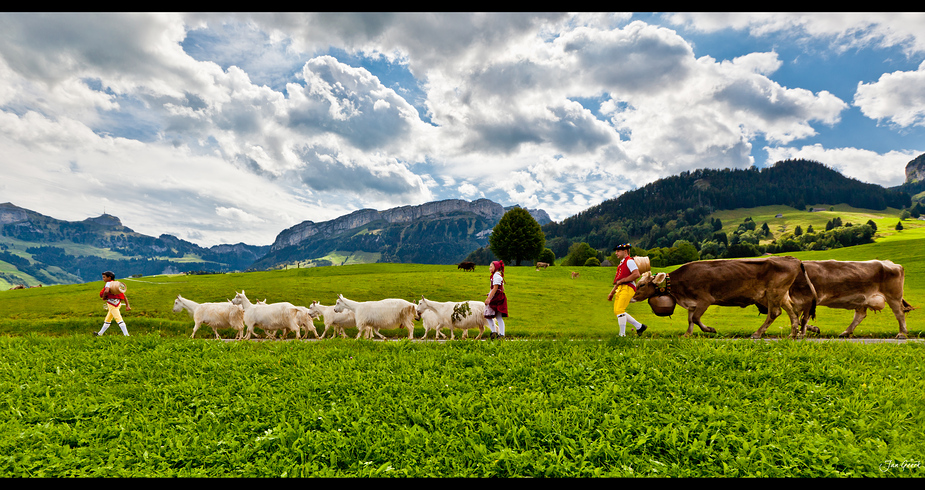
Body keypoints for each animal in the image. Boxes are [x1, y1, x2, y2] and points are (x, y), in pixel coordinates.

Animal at [628, 255, 816, 338]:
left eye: (642, 285)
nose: (632, 298)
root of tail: (791, 258)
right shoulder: (692, 303)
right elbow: (690, 320)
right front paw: (687, 334)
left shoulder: (704, 300)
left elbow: (695, 318)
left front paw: (710, 329)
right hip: (780, 294)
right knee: (793, 312)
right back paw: (793, 334)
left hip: (774, 292)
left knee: (775, 313)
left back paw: (757, 333)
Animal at [784, 258, 912, 338]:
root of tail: (890, 263)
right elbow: (796, 318)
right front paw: (807, 330)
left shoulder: (809, 299)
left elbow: (803, 319)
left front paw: (801, 333)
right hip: (863, 300)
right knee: (859, 316)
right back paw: (846, 332)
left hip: (894, 297)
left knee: (899, 313)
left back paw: (902, 334)